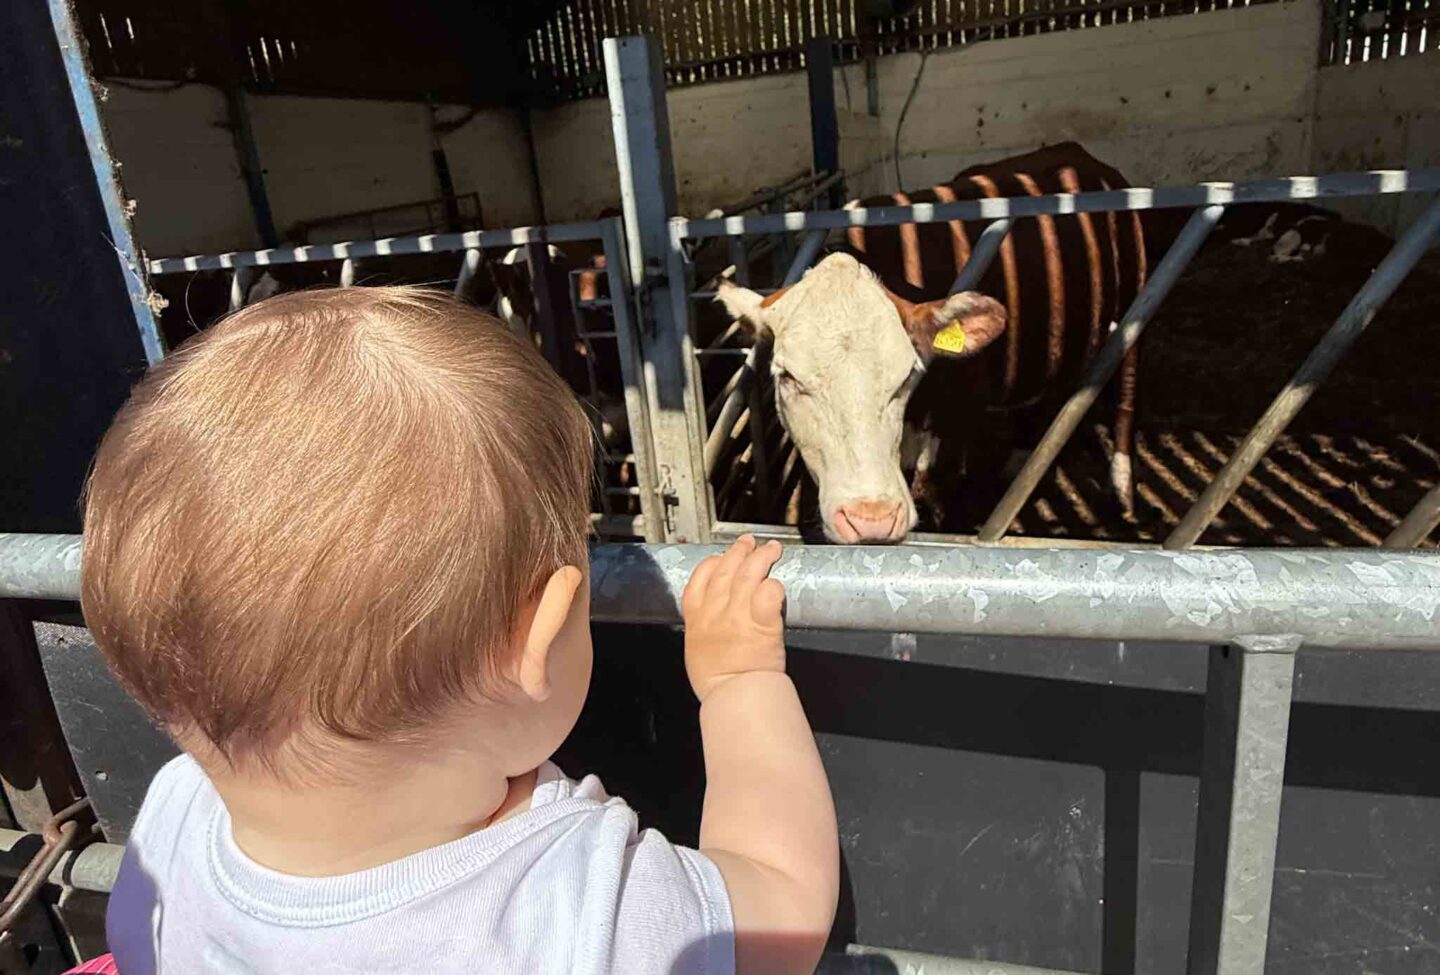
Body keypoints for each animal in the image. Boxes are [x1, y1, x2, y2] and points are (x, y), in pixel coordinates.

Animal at [717, 143, 1176, 543]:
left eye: (908, 375)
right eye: (788, 377)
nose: (871, 519)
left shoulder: (958, 417)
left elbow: (936, 494)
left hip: (1137, 299)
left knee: (1127, 391)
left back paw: (1122, 487)